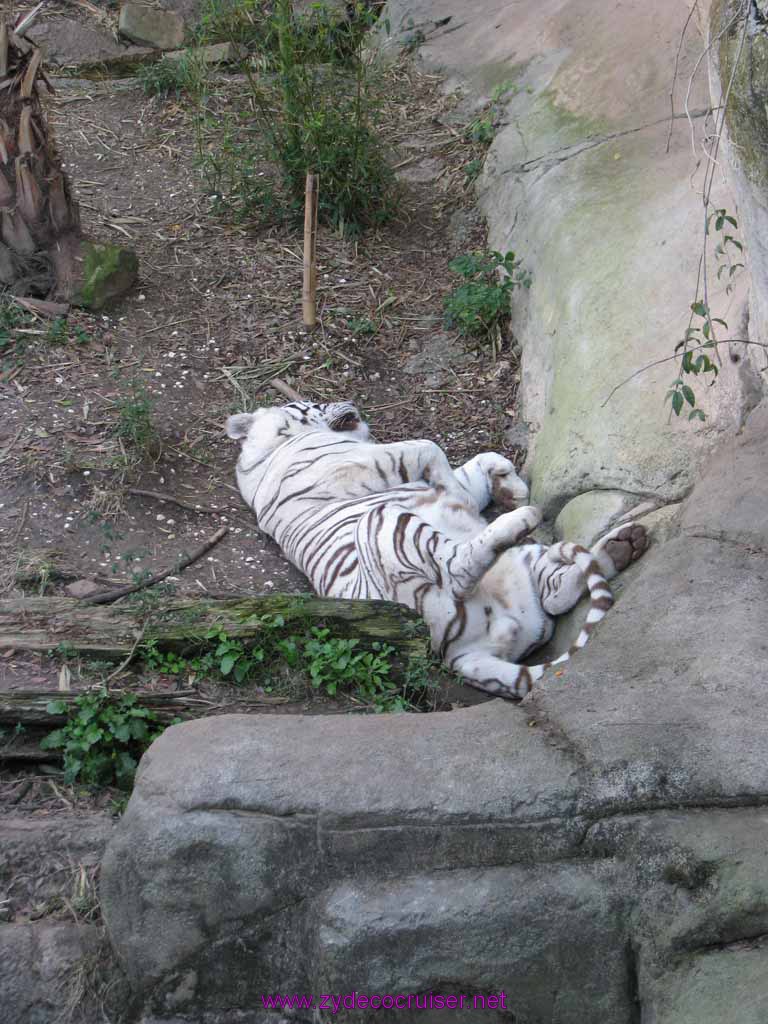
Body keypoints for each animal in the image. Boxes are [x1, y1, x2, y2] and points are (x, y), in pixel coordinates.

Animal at [228, 403, 651, 700]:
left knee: (556, 593)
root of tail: (462, 652)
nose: (346, 402)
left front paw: (508, 486)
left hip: (524, 564)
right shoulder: (358, 463)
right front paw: (476, 492)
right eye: (313, 404)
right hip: (386, 525)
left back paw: (621, 545)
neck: (265, 456)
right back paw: (523, 520)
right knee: (458, 569)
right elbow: (429, 447)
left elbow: (477, 463)